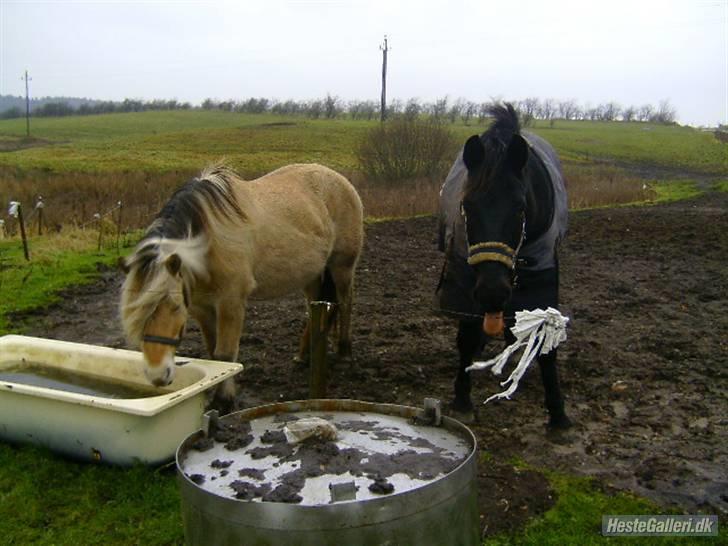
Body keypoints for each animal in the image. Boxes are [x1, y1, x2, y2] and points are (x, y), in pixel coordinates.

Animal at [118, 162, 364, 404]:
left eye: (175, 307)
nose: (157, 375)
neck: (209, 243)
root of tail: (340, 180)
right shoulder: (201, 308)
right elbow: (214, 354)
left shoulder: (231, 303)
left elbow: (225, 355)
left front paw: (224, 401)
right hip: (311, 274)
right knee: (316, 309)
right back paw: (303, 355)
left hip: (342, 266)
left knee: (345, 302)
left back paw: (345, 352)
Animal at [436, 104, 572, 428]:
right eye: (467, 206)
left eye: (520, 208)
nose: (492, 293)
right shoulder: (465, 278)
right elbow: (468, 337)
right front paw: (462, 398)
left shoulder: (542, 277)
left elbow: (547, 347)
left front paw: (558, 414)